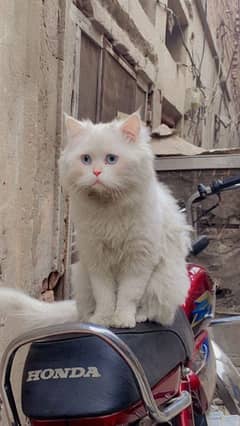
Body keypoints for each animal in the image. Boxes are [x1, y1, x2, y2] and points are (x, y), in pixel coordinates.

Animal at [0, 112, 190, 336]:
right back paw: (89, 317)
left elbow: (128, 296)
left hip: (164, 281)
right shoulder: (97, 260)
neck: (108, 211)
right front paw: (102, 320)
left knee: (156, 311)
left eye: (111, 159)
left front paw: (123, 320)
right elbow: (105, 297)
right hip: (82, 278)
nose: (97, 173)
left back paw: (139, 316)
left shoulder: (139, 260)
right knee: (87, 308)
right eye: (86, 160)